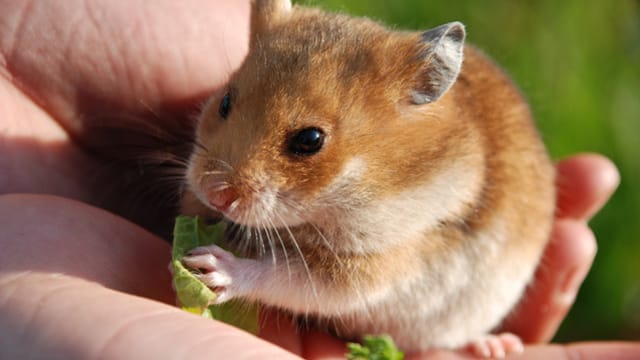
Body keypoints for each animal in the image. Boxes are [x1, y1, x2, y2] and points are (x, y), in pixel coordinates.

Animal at [179, 0, 556, 354]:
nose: (214, 194)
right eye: (225, 102)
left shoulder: (369, 267)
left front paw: (208, 266)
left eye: (310, 139)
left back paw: (496, 346)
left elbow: (283, 276)